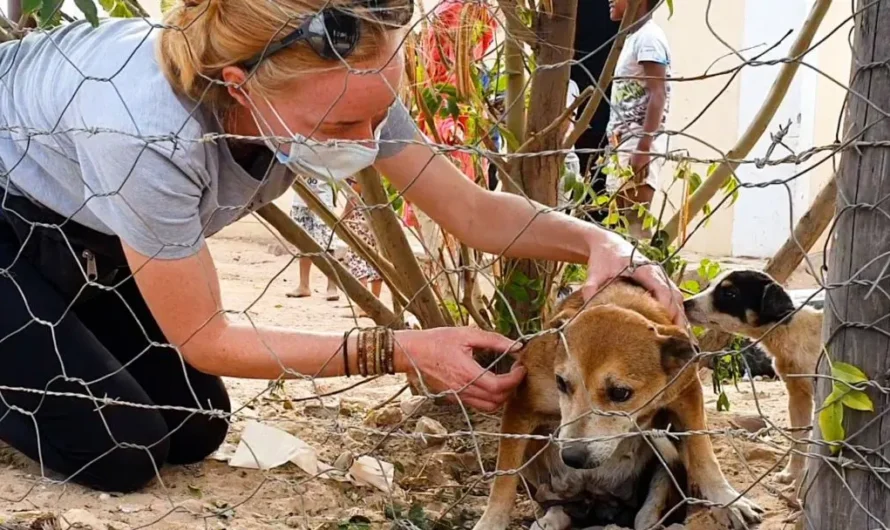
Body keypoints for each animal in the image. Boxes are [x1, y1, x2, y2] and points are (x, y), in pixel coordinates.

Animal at [472, 278, 764, 528]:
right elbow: (504, 478)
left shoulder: (688, 393)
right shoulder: (521, 405)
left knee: (649, 508)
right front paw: (490, 522)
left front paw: (727, 500)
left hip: (660, 451)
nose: (572, 457)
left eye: (621, 393)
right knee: (558, 506)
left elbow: (703, 453)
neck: (620, 302)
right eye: (561, 383)